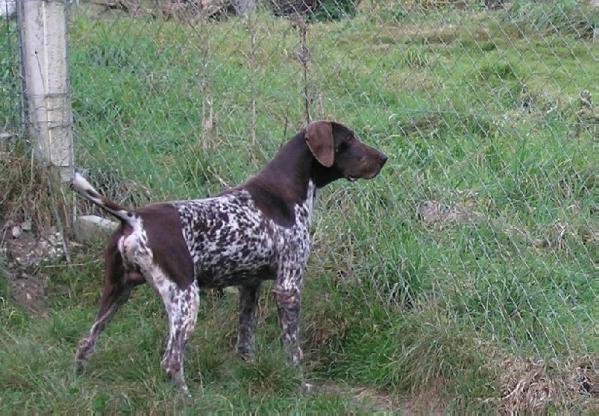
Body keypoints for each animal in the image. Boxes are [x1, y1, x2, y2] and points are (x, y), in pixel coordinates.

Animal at [74, 120, 390, 394]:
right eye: (348, 140)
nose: (384, 158)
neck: (288, 190)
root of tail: (134, 218)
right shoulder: (288, 287)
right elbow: (292, 346)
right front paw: (300, 383)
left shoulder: (250, 286)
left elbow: (245, 338)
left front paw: (247, 369)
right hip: (185, 299)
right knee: (171, 360)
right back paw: (186, 399)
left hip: (117, 291)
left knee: (86, 341)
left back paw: (78, 383)